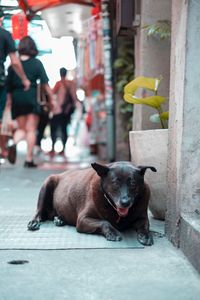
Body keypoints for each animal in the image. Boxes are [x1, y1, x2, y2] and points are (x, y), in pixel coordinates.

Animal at [27, 161, 156, 245]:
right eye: (115, 183)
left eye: (133, 183)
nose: (125, 203)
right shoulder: (83, 220)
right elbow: (104, 222)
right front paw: (113, 233)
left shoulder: (142, 218)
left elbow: (145, 225)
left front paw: (146, 235)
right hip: (47, 183)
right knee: (39, 211)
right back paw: (34, 222)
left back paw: (59, 219)